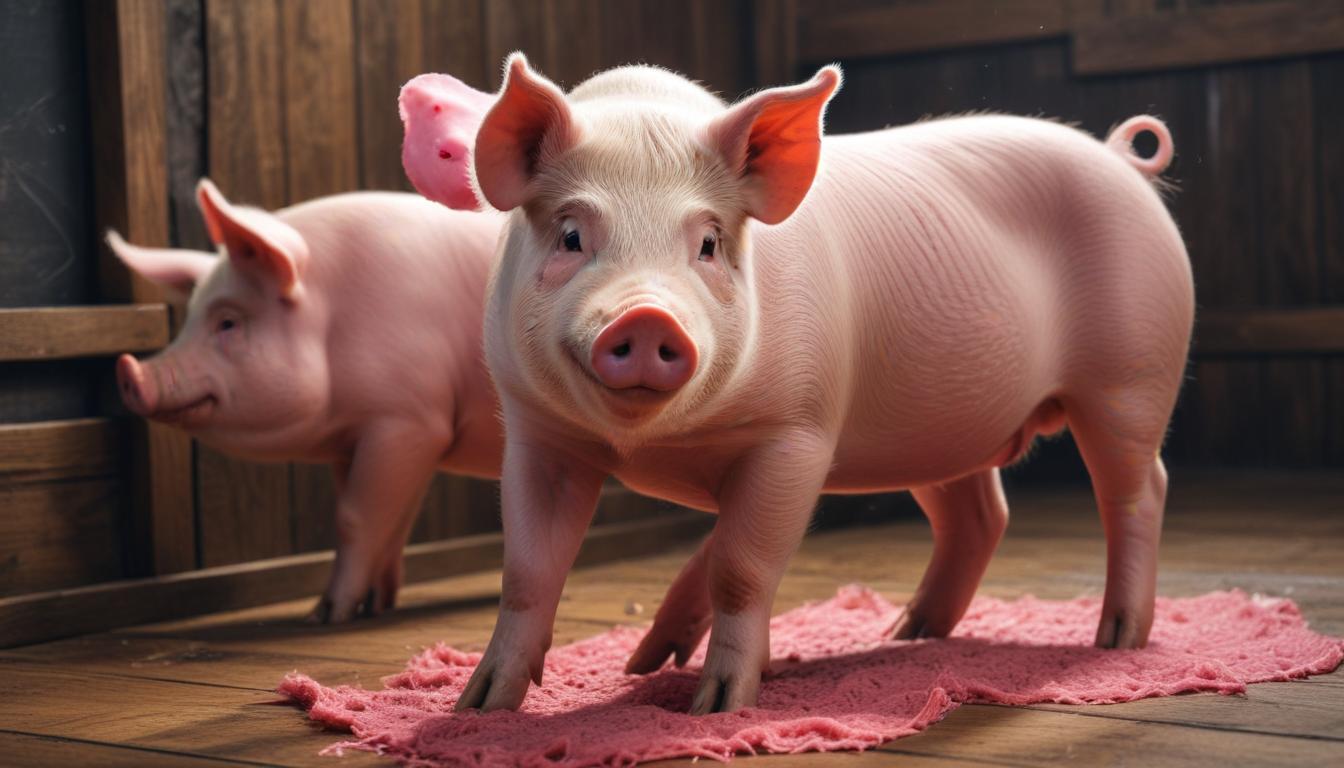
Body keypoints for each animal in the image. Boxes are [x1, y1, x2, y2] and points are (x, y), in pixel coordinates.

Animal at [110, 178, 504, 623]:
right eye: (188, 321)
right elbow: (393, 525)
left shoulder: (409, 419)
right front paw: (375, 606)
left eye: (228, 322)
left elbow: (353, 518)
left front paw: (326, 615)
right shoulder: (375, 437)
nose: (129, 370)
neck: (336, 320)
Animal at [420, 54, 1192, 715]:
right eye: (571, 235)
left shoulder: (797, 432)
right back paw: (907, 633)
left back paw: (1117, 637)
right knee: (979, 513)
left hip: (1133, 373)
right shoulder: (538, 432)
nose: (644, 316)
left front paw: (718, 706)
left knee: (1138, 489)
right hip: (938, 424)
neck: (653, 442)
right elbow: (529, 569)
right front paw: (480, 707)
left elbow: (741, 564)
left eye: (708, 243)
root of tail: (1122, 158)